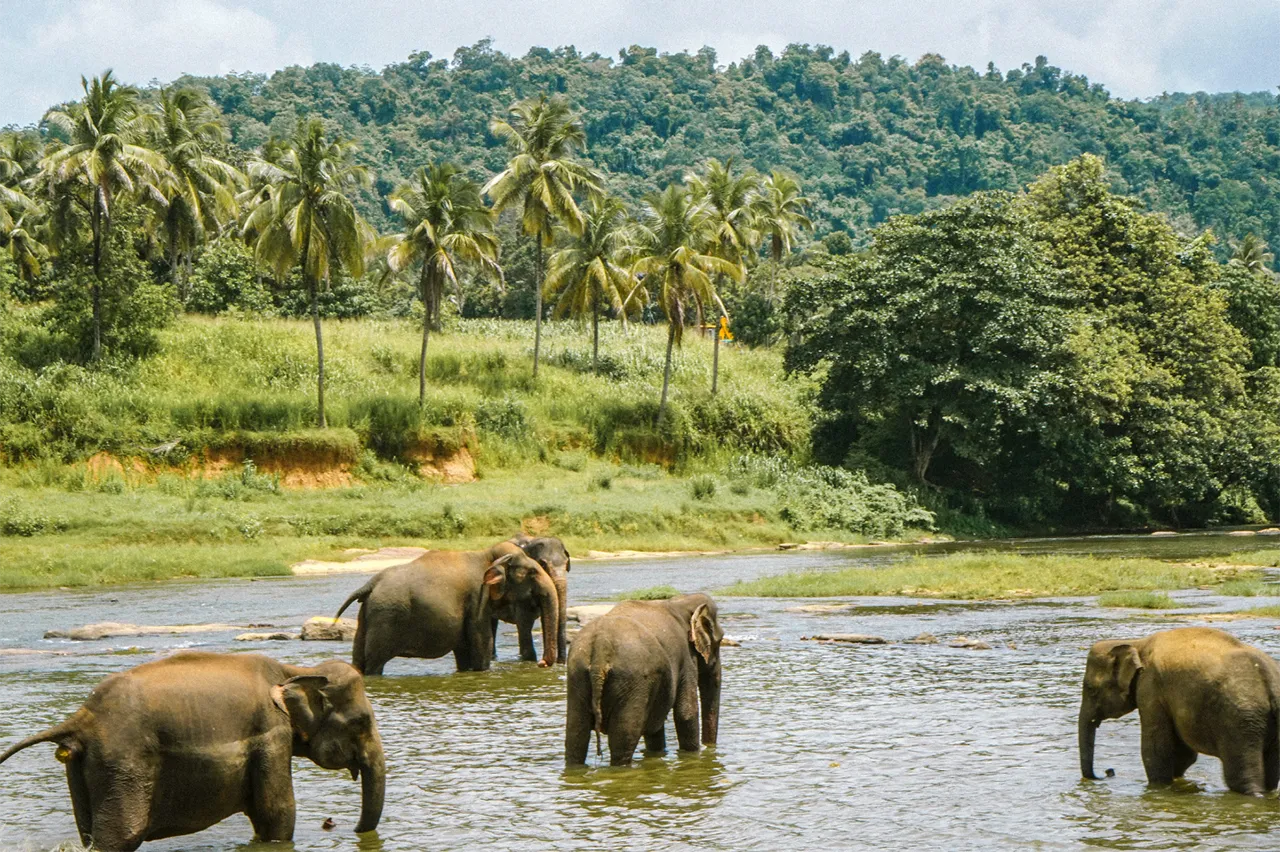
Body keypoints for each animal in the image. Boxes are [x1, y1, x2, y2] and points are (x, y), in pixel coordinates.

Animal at [0, 651, 383, 852]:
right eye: (361, 722)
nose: (343, 827)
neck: (296, 670)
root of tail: (82, 717)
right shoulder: (270, 733)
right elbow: (276, 814)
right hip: (124, 762)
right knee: (119, 836)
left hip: (83, 766)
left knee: (89, 833)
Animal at [335, 541, 559, 674]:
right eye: (532, 572)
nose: (542, 663)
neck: (486, 555)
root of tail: (370, 584)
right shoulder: (477, 599)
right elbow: (482, 645)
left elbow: (464, 651)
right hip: (385, 618)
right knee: (374, 663)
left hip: (367, 616)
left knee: (359, 659)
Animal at [494, 534, 571, 664]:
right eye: (543, 564)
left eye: (566, 564)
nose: (560, 662)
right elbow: (524, 620)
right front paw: (529, 660)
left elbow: (546, 619)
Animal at [565, 593, 723, 766]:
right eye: (720, 641)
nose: (709, 748)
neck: (680, 601)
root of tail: (600, 647)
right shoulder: (686, 657)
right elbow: (686, 713)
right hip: (632, 681)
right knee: (624, 738)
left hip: (577, 674)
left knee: (575, 735)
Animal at [1079, 626, 1280, 795]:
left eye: (1090, 688)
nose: (1108, 771)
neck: (1136, 643)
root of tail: (1270, 682)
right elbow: (1184, 753)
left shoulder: (1151, 688)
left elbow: (1157, 749)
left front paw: (1158, 787)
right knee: (1270, 777)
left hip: (1239, 722)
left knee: (1242, 777)